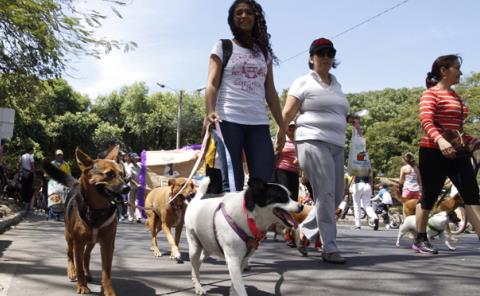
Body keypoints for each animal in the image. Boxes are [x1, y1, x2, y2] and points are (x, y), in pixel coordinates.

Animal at [43, 146, 128, 296]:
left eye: (122, 174)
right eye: (109, 174)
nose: (127, 188)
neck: (97, 210)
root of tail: (76, 183)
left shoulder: (108, 244)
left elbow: (106, 271)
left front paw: (108, 290)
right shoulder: (78, 242)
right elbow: (79, 267)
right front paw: (82, 286)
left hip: (92, 242)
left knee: (86, 256)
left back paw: (87, 273)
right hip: (70, 237)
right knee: (70, 254)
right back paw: (72, 272)